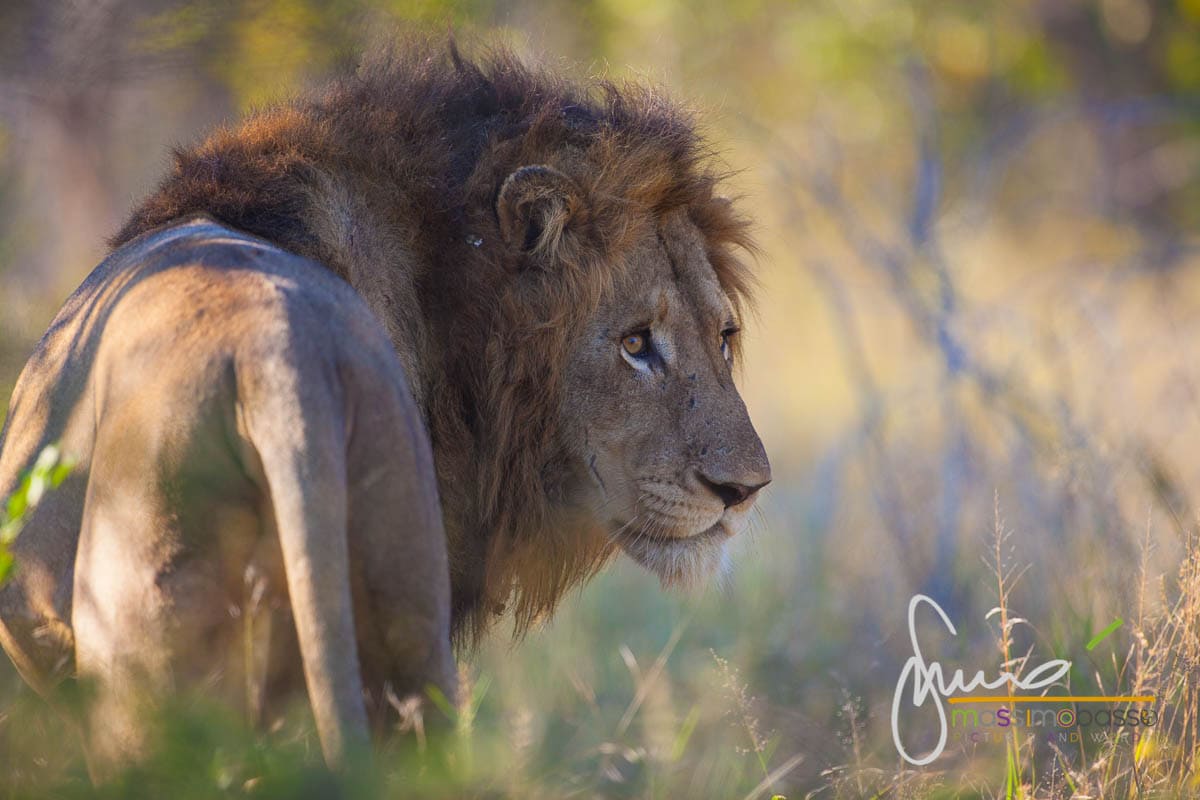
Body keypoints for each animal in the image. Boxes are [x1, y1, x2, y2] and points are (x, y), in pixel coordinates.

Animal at [0, 39, 771, 772]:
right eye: (636, 343)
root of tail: (277, 352)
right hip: (404, 627)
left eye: (723, 336)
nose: (745, 490)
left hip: (149, 668)